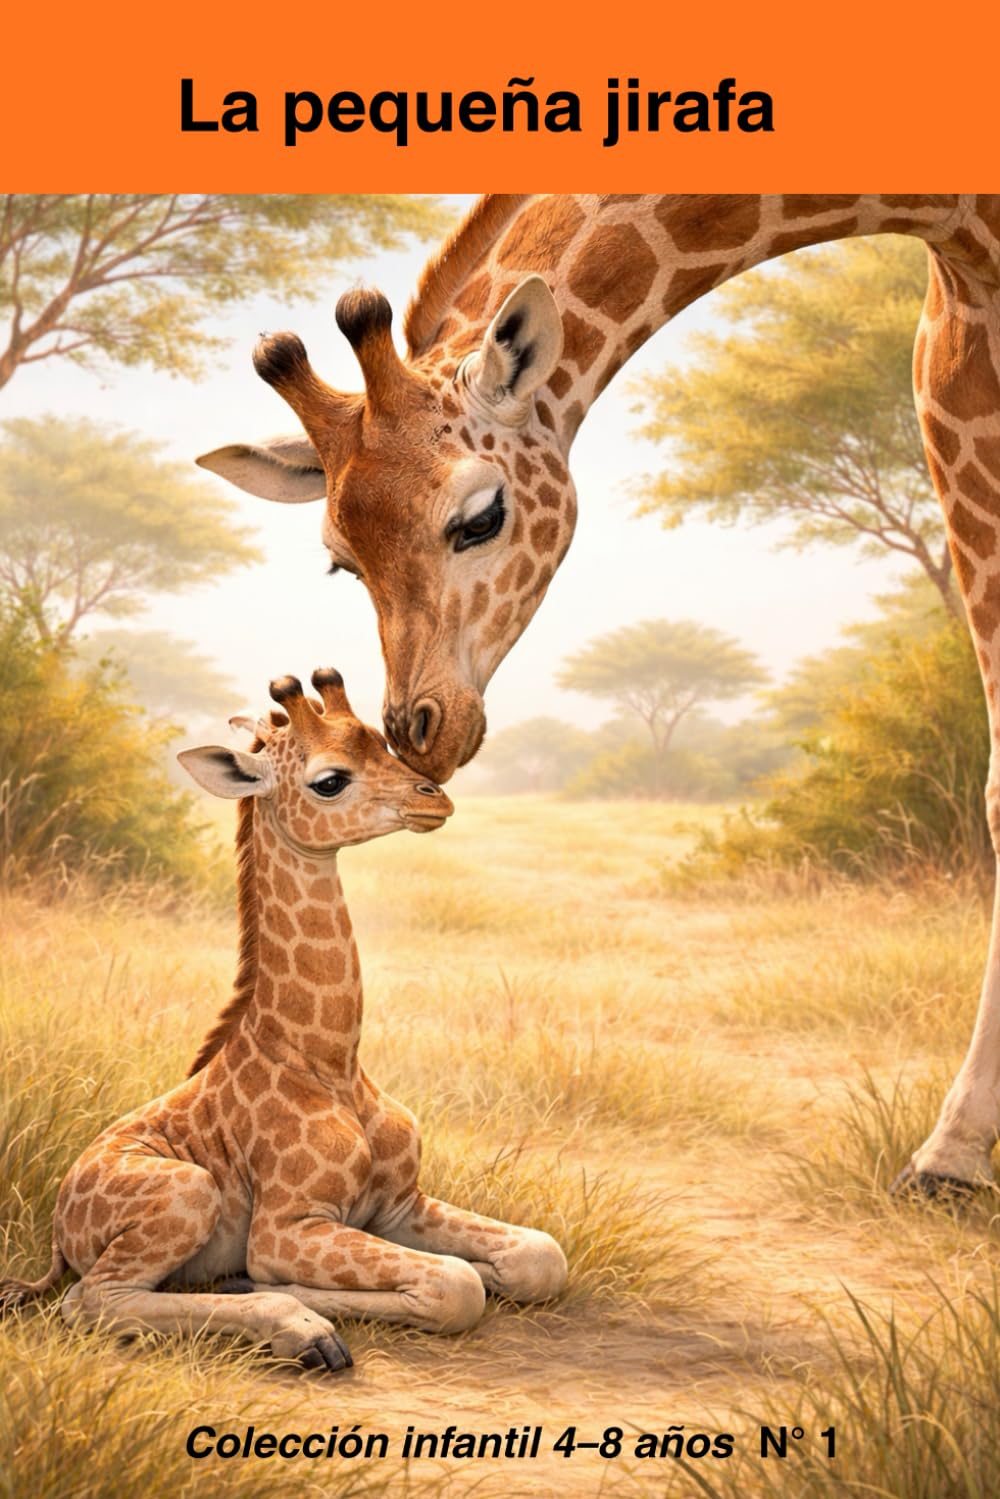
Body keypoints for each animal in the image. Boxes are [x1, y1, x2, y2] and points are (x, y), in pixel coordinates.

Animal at [0, 669, 567, 1366]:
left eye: (384, 743)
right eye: (329, 780)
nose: (435, 799)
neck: (331, 1060)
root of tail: (57, 1226)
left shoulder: (398, 1203)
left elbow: (539, 1255)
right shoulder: (288, 1225)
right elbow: (453, 1284)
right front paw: (281, 1294)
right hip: (187, 1192)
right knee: (93, 1300)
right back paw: (302, 1332)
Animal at [198, 194, 1000, 1196]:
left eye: (481, 516)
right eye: (341, 560)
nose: (421, 733)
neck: (951, 220)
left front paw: (953, 1155)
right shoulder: (955, 371)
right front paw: (954, 1158)